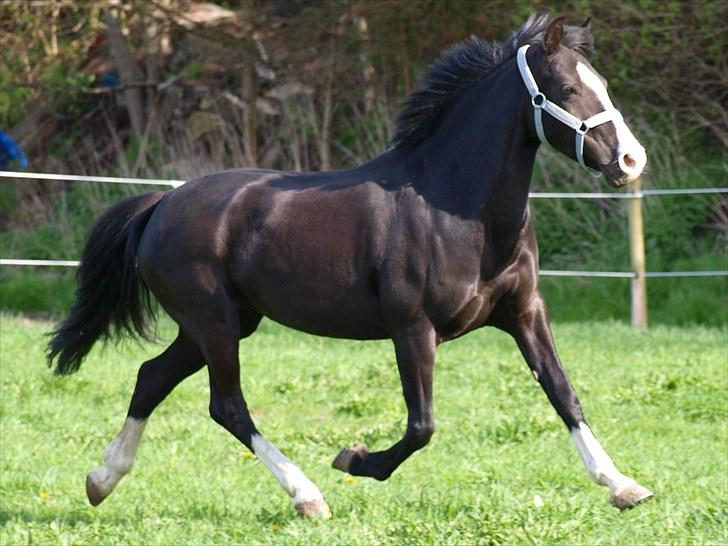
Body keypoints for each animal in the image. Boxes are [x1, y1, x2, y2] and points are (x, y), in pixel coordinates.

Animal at [48, 14, 652, 519]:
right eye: (567, 90)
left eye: (602, 84)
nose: (631, 160)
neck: (455, 206)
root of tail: (160, 205)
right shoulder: (412, 328)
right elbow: (422, 424)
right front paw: (355, 459)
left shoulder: (524, 311)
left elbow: (563, 392)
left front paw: (624, 486)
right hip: (213, 322)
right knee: (227, 406)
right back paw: (307, 496)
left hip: (222, 323)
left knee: (151, 378)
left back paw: (101, 480)